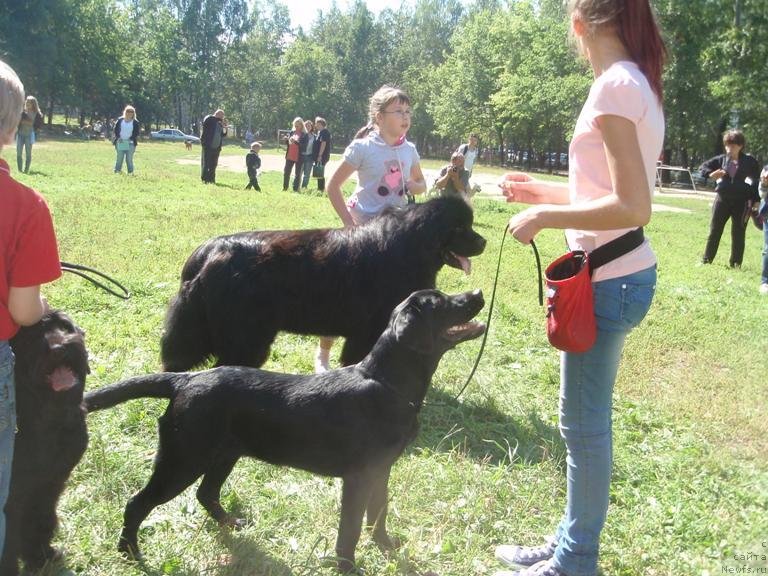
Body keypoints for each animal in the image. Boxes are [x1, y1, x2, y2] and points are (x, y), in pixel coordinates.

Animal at [1, 310, 89, 576]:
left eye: (65, 326)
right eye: (31, 337)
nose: (59, 348)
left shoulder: (49, 484)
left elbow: (40, 519)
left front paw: (40, 556)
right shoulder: (11, 499)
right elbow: (8, 542)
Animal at [88, 288, 486, 572]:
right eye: (440, 302)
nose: (479, 293)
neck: (387, 383)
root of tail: (185, 379)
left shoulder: (381, 470)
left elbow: (379, 514)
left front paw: (387, 548)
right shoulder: (358, 477)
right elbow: (350, 530)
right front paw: (348, 567)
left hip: (223, 454)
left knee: (205, 493)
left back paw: (231, 523)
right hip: (183, 459)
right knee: (137, 503)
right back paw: (130, 554)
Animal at [160, 196, 486, 372]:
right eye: (460, 228)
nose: (484, 242)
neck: (411, 247)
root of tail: (209, 250)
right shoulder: (369, 331)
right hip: (246, 337)